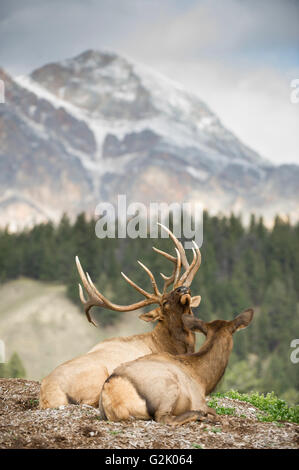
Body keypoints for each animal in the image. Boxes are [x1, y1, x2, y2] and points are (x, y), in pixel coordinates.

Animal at [99, 308, 254, 426]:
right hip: (169, 387)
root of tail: (114, 399)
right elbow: (215, 412)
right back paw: (199, 415)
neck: (203, 380)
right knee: (164, 418)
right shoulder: (198, 400)